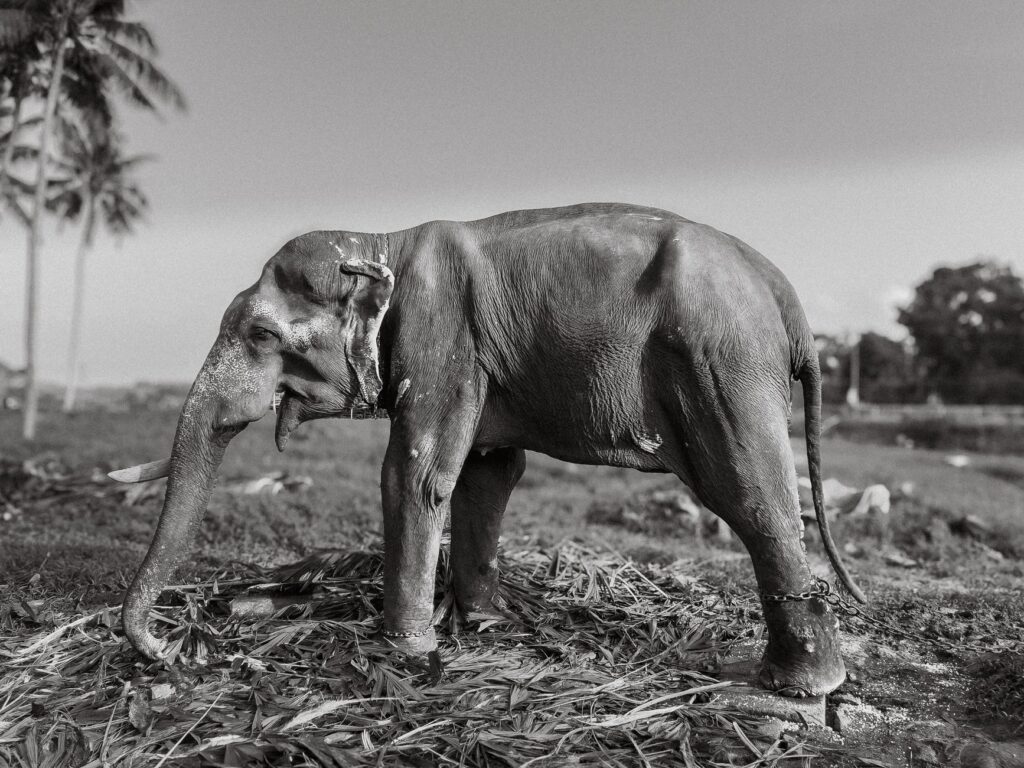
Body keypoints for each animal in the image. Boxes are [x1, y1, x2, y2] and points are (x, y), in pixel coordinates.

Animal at [111, 202, 864, 697]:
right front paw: (482, 624)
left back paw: (794, 689)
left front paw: (406, 653)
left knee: (752, 497)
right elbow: (488, 472)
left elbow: (416, 474)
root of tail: (787, 298)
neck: (384, 240)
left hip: (723, 366)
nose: (173, 650)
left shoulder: (440, 335)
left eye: (262, 335)